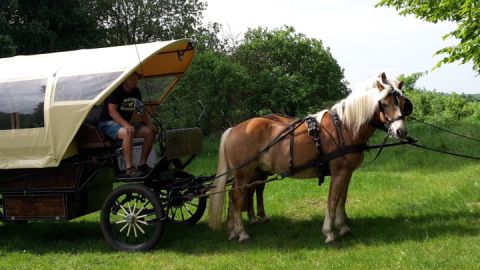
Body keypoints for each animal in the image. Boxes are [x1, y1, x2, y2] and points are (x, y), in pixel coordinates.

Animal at [209, 73, 412, 244]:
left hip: (250, 173)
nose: (401, 131)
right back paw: (242, 233)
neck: (345, 126)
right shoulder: (339, 171)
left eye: (402, 103)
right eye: (383, 103)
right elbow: (332, 200)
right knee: (237, 197)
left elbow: (342, 199)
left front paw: (343, 227)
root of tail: (233, 129)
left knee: (236, 195)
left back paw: (233, 231)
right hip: (244, 173)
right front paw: (329, 233)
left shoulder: (347, 172)